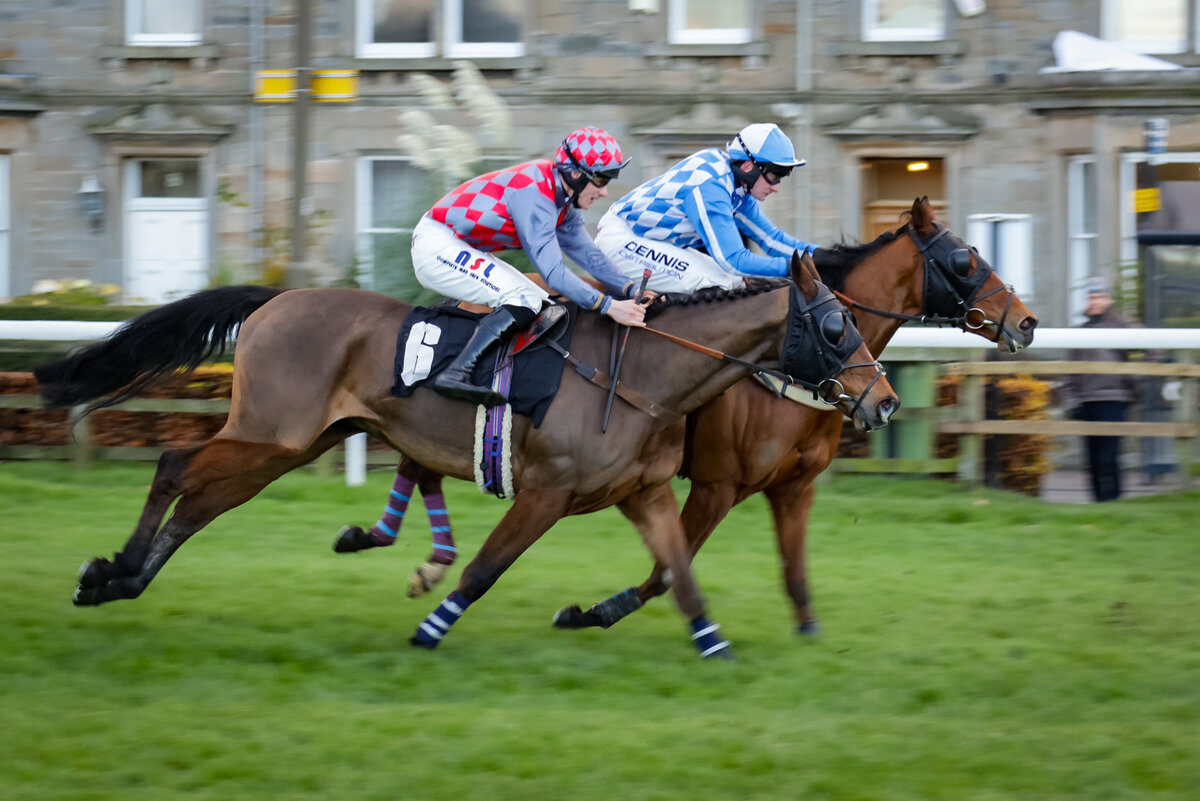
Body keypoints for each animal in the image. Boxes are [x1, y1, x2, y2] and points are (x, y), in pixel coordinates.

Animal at [35, 250, 902, 657]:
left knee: (203, 500)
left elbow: (681, 575)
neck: (644, 373)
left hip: (293, 441)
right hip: (272, 431)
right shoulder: (548, 492)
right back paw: (109, 570)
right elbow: (487, 569)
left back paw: (122, 580)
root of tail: (277, 298)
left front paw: (713, 645)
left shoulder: (648, 492)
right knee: (174, 469)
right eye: (836, 327)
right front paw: (430, 627)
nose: (885, 400)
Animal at [340, 194, 1041, 633]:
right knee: (416, 459)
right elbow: (663, 572)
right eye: (965, 260)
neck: (786, 373)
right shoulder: (716, 484)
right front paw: (589, 613)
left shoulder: (793, 488)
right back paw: (403, 548)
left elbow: (795, 579)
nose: (1027, 322)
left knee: (417, 460)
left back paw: (405, 550)